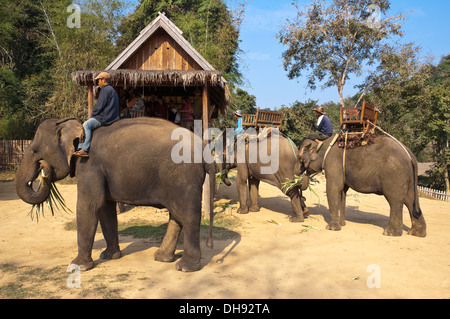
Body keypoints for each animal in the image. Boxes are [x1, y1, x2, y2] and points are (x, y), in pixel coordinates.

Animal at [15, 117, 216, 272]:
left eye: (35, 151)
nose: (43, 167)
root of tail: (205, 150)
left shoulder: (89, 165)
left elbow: (89, 205)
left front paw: (77, 266)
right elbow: (105, 208)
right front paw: (110, 256)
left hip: (184, 177)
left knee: (188, 216)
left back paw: (185, 267)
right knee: (177, 215)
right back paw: (162, 258)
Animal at [298, 135, 426, 238]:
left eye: (300, 159)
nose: (300, 176)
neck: (325, 143)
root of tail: (410, 155)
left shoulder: (333, 163)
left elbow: (333, 189)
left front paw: (332, 228)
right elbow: (342, 191)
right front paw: (342, 224)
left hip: (395, 174)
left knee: (395, 201)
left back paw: (390, 233)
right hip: (408, 178)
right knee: (410, 200)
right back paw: (416, 234)